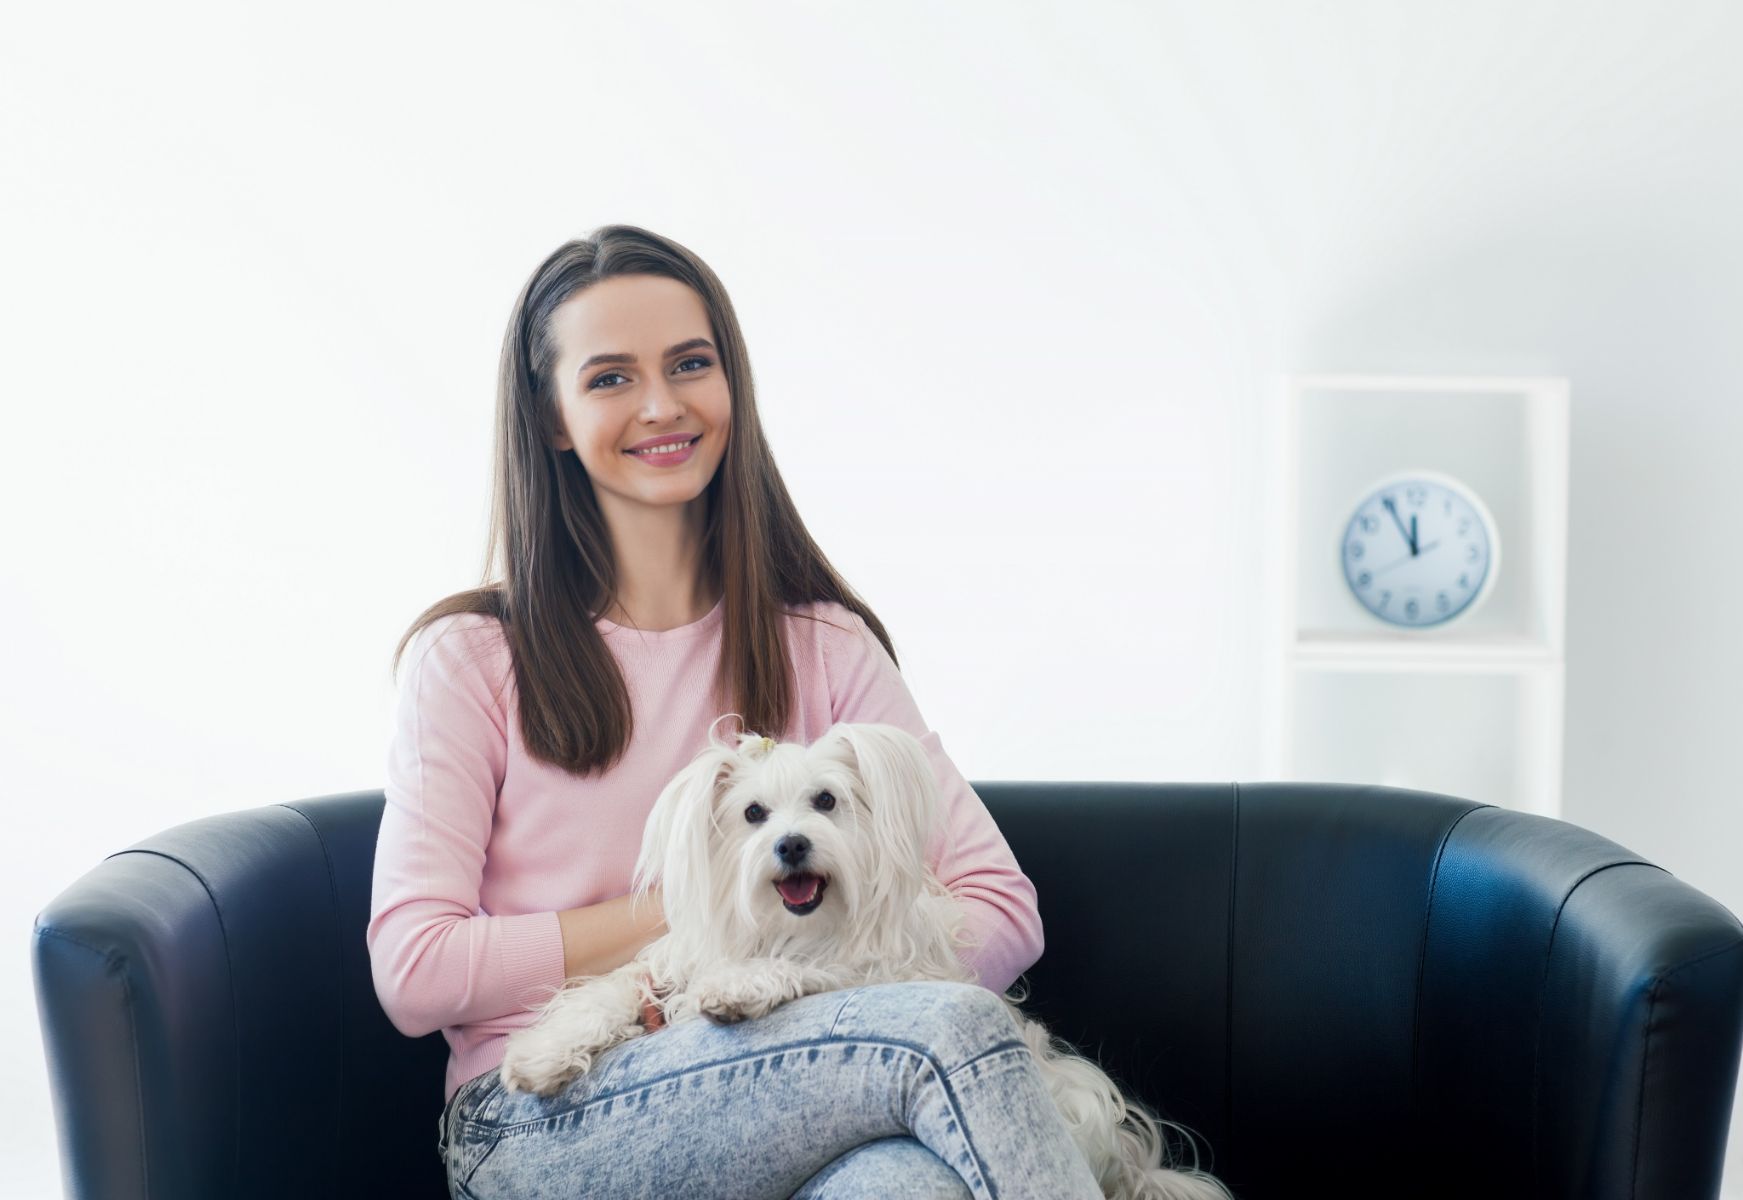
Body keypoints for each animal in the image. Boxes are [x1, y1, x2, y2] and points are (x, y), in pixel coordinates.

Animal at [501, 722, 1241, 1200]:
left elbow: (814, 971)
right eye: (753, 813)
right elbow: (608, 994)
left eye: (826, 801)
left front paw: (740, 986)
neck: (790, 929)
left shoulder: (867, 965)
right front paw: (543, 1054)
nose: (792, 844)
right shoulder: (662, 970)